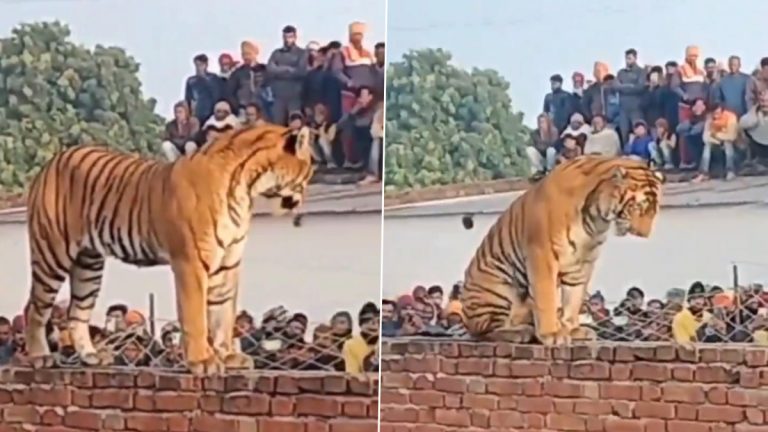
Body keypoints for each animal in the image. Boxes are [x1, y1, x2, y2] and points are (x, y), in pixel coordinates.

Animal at [22, 124, 314, 374]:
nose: (303, 199)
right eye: (309, 170)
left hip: (88, 263)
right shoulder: (191, 261)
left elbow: (223, 315)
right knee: (35, 308)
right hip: (52, 253)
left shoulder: (228, 263)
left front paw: (229, 356)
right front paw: (202, 361)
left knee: (77, 312)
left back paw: (91, 356)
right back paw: (40, 357)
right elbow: (196, 317)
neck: (246, 187)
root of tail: (54, 159)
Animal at [460, 157, 664, 346]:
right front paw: (552, 334)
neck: (596, 215)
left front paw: (572, 330)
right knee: (483, 333)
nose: (644, 235)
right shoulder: (542, 253)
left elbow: (573, 298)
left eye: (654, 211)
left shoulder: (583, 261)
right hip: (498, 290)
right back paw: (520, 332)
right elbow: (546, 297)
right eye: (637, 207)